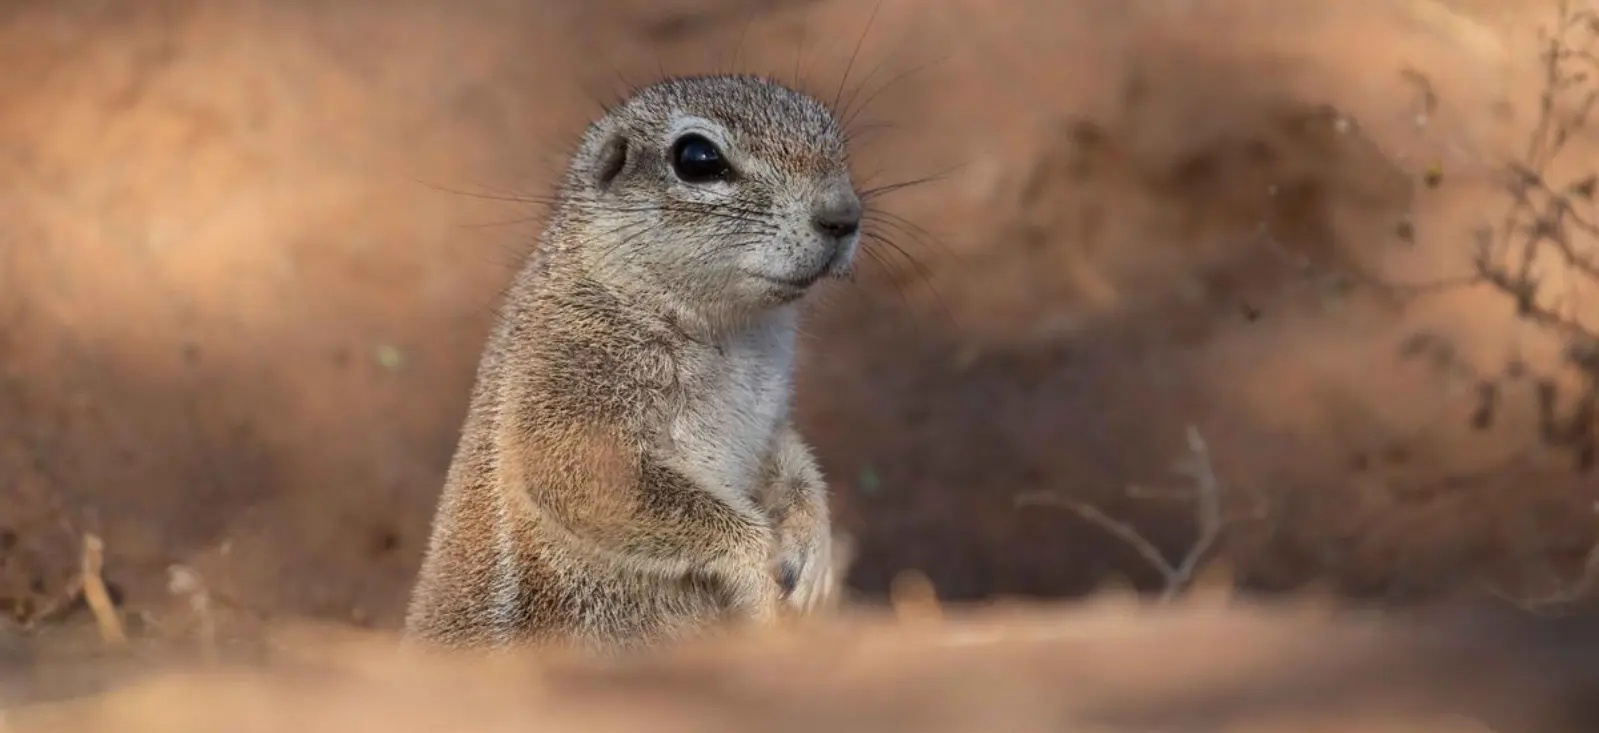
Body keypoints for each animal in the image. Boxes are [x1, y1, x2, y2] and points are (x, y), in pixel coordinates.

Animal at [409, 74, 863, 649]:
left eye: (836, 139)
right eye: (697, 158)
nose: (845, 216)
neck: (740, 334)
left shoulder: (771, 415)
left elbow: (797, 464)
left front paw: (814, 553)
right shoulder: (573, 363)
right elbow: (581, 472)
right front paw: (757, 570)